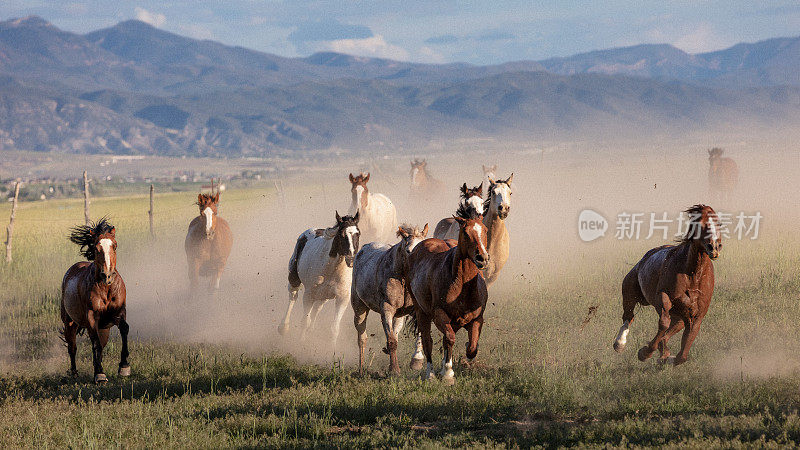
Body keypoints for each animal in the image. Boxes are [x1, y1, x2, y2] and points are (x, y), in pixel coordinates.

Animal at [61, 218, 130, 384]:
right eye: (96, 247)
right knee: (72, 347)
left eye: (115, 245)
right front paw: (100, 374)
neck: (107, 289)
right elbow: (95, 343)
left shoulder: (119, 312)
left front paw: (124, 367)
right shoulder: (92, 316)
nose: (108, 275)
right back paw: (74, 373)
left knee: (99, 345)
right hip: (69, 322)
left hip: (104, 328)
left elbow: (124, 329)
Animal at [278, 212, 360, 344]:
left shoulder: (342, 298)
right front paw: (301, 342)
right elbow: (304, 321)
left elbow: (334, 328)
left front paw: (332, 348)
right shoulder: (309, 295)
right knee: (293, 296)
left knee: (317, 307)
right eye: (342, 234)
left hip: (323, 295)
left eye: (358, 233)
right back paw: (283, 327)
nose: (351, 259)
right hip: (294, 278)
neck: (331, 268)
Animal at [354, 223, 432, 374]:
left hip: (399, 316)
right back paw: (361, 368)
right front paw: (394, 369)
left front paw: (416, 361)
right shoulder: (387, 309)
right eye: (408, 251)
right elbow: (391, 341)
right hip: (359, 307)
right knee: (362, 337)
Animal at [406, 211, 488, 384]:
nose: (482, 258)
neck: (462, 286)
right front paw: (448, 374)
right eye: (465, 232)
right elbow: (449, 339)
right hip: (421, 311)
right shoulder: (439, 315)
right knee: (427, 341)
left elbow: (472, 347)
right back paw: (430, 374)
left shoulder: (477, 318)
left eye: (484, 230)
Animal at [612, 204, 724, 366]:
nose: (714, 248)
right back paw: (620, 344)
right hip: (630, 295)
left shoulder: (696, 316)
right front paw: (645, 353)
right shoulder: (663, 298)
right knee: (629, 316)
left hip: (680, 317)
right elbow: (664, 324)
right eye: (699, 223)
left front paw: (665, 358)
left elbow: (683, 354)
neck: (693, 276)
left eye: (719, 223)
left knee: (668, 331)